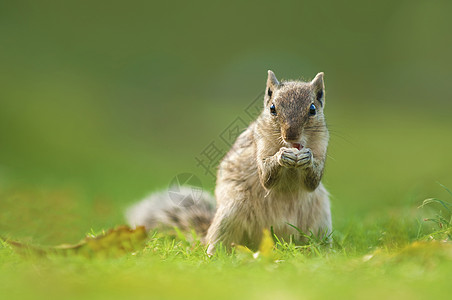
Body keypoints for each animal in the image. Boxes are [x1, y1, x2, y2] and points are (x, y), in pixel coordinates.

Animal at [127, 71, 332, 255]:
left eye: (312, 109)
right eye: (272, 108)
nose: (291, 135)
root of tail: (274, 240)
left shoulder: (322, 145)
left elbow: (313, 182)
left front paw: (307, 158)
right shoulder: (259, 142)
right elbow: (266, 177)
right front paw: (281, 156)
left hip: (320, 216)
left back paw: (321, 254)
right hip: (231, 211)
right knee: (219, 240)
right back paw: (214, 255)